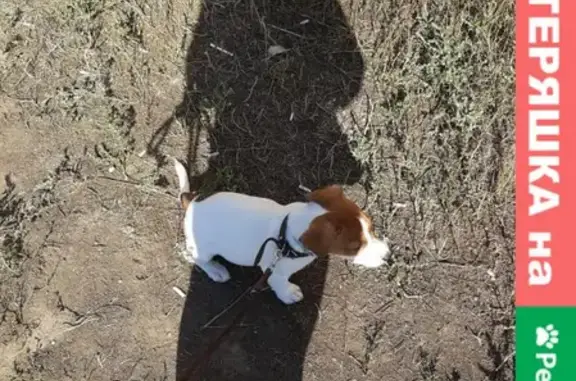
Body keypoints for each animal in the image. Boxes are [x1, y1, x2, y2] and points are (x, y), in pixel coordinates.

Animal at [173, 157, 390, 302]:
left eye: (371, 227)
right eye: (355, 247)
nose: (387, 255)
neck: (285, 233)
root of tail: (192, 202)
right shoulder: (275, 272)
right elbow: (280, 284)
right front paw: (289, 294)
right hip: (203, 250)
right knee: (193, 257)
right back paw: (215, 270)